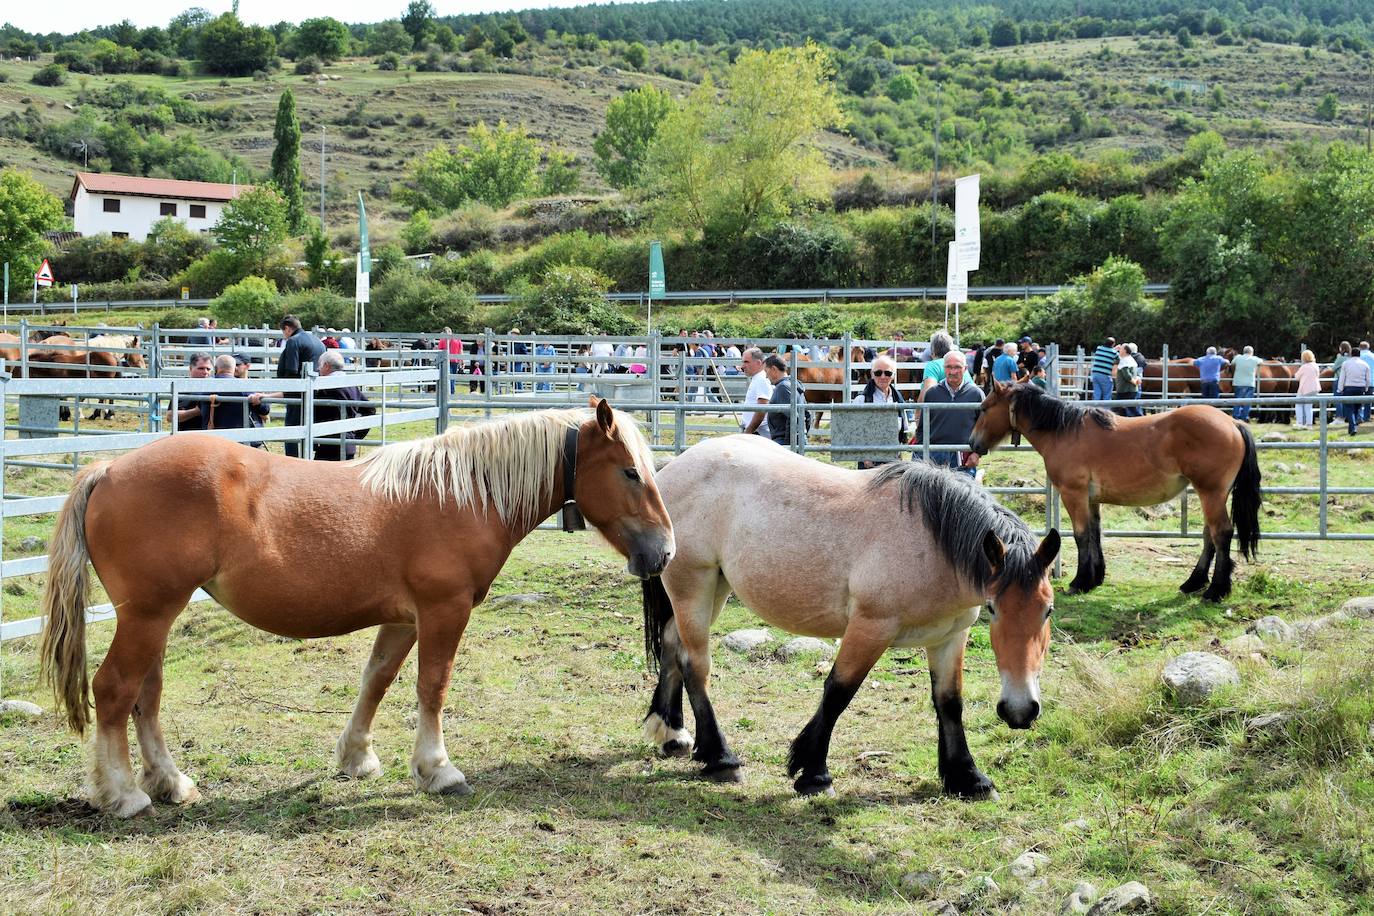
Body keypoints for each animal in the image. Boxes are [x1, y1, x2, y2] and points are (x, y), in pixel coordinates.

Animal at [36, 401, 670, 818]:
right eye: (630, 471)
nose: (664, 551)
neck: (461, 494)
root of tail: (107, 470)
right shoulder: (443, 611)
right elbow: (432, 686)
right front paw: (438, 769)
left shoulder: (402, 619)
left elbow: (377, 680)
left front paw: (357, 758)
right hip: (147, 615)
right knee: (115, 690)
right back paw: (124, 795)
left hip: (156, 618)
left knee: (146, 695)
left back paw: (170, 782)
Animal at [637, 433, 1055, 796]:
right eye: (994, 608)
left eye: (1048, 610)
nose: (1020, 711)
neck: (931, 543)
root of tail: (672, 467)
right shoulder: (870, 628)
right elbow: (838, 691)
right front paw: (813, 773)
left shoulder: (950, 636)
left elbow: (950, 702)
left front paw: (967, 777)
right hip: (694, 585)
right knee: (695, 664)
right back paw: (721, 758)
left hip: (716, 589)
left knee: (672, 645)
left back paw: (671, 734)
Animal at [967, 381, 1258, 601]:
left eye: (983, 408)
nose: (972, 444)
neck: (1065, 433)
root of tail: (1233, 424)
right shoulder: (1091, 499)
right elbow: (1095, 533)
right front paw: (1095, 578)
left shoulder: (1074, 494)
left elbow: (1081, 535)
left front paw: (1080, 581)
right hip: (1211, 494)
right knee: (1209, 534)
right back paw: (1193, 583)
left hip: (1211, 493)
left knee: (1221, 533)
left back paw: (1215, 590)